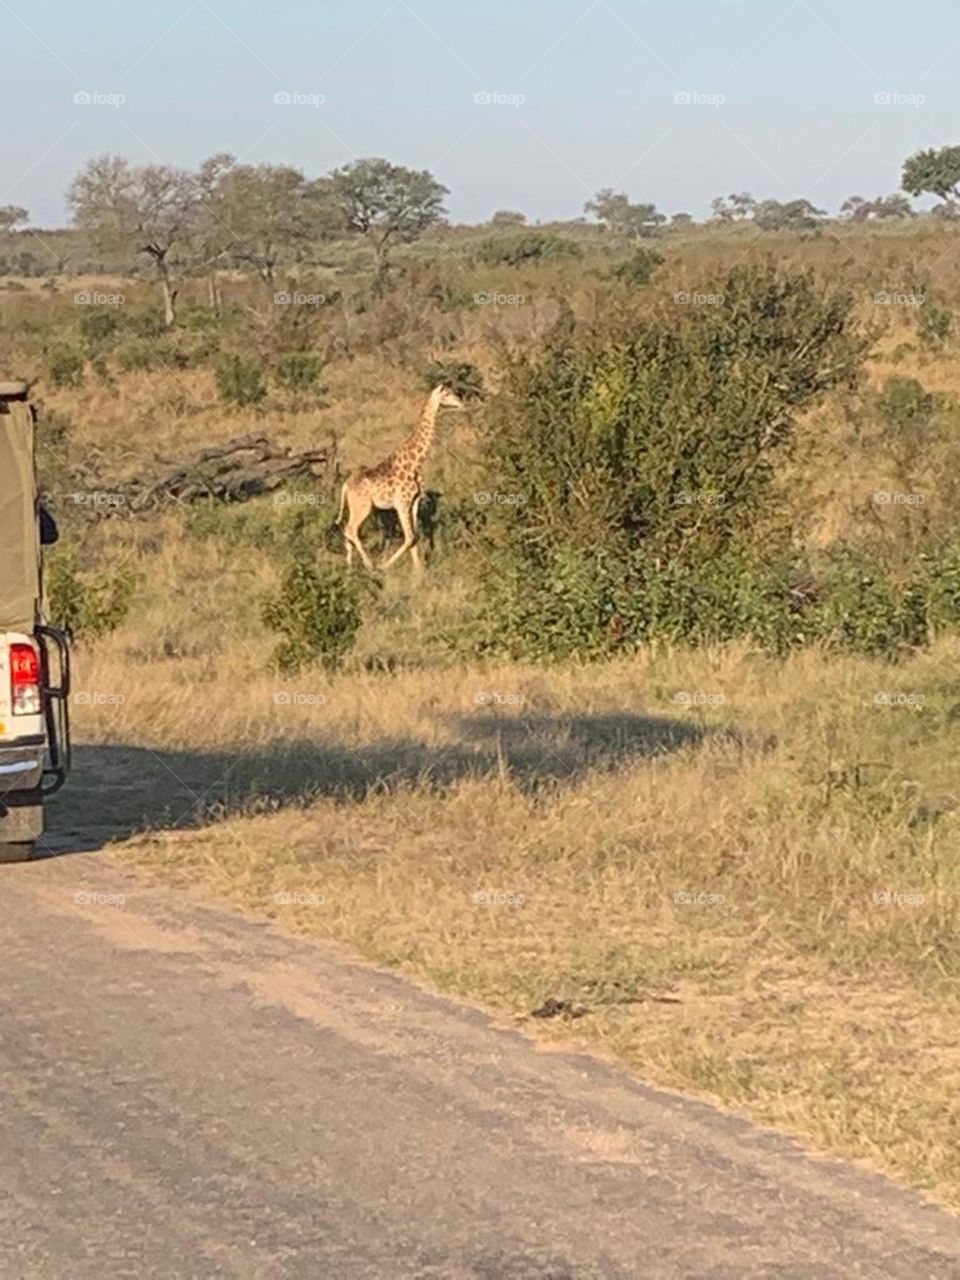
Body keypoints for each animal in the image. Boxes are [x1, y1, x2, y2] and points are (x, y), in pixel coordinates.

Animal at [337, 384, 464, 571]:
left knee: (347, 530)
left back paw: (350, 567)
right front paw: (386, 565)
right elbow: (410, 537)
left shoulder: (414, 502)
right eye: (446, 394)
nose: (461, 402)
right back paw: (370, 565)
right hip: (363, 507)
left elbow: (415, 536)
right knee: (351, 529)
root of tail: (345, 486)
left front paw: (419, 570)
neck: (415, 464)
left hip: (355, 506)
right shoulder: (401, 503)